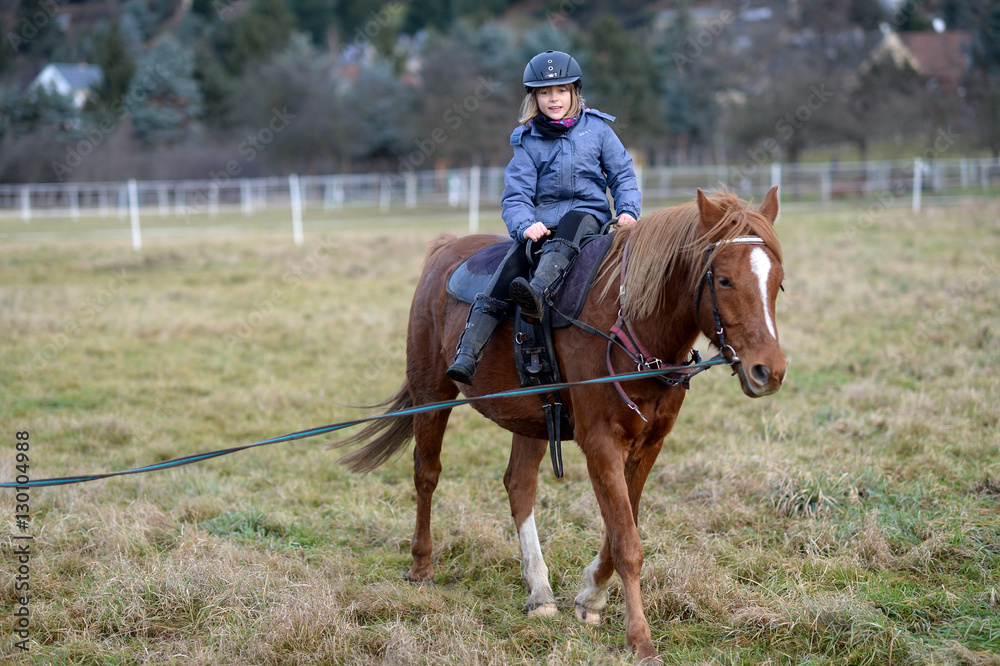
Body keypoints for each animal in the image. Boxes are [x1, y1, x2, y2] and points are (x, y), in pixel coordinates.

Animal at [340, 185, 784, 660]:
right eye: (724, 280)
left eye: (777, 281)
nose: (769, 371)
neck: (628, 321)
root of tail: (446, 248)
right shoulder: (600, 442)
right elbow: (627, 542)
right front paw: (640, 640)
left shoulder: (649, 443)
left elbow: (620, 526)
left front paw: (591, 598)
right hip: (431, 395)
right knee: (427, 474)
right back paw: (422, 565)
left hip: (533, 417)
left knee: (519, 486)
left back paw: (539, 591)